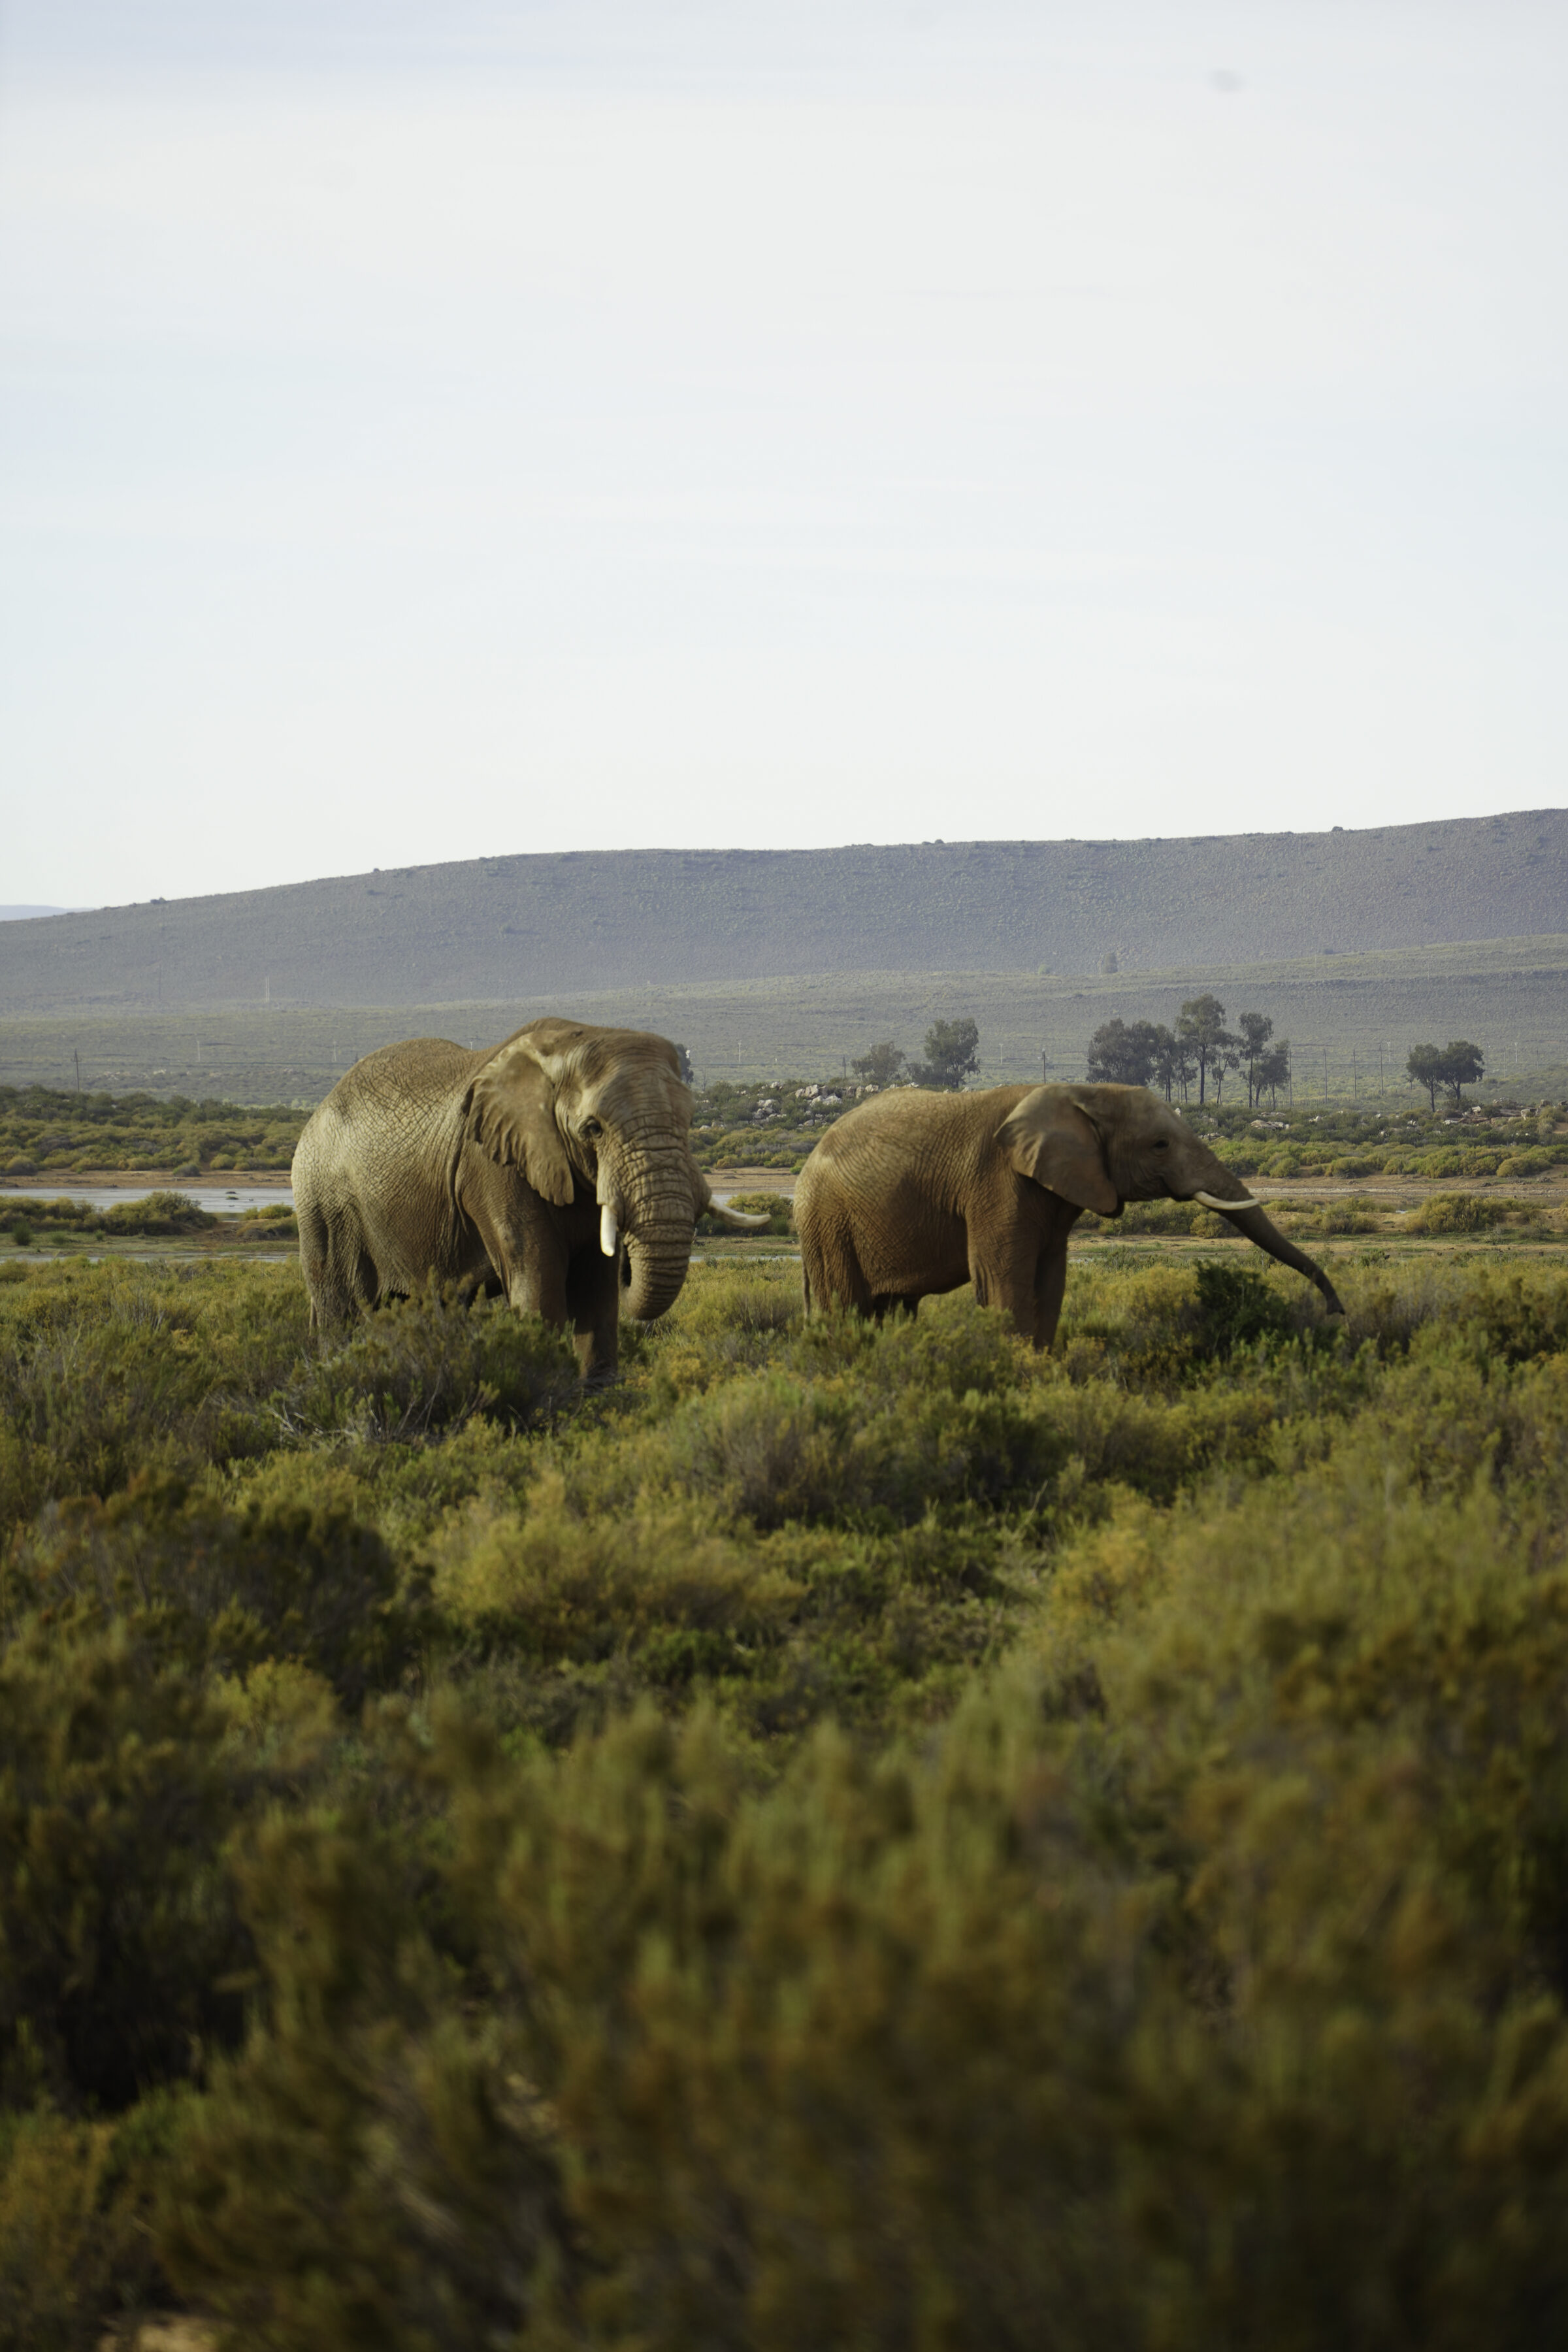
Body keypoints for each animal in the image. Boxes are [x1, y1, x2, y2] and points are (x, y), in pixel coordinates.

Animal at [291, 1017, 765, 1375]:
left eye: (689, 1120)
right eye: (593, 1129)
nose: (631, 1264)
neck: (572, 1041)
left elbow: (597, 1289)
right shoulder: (494, 1165)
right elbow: (537, 1281)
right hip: (323, 1204)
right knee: (342, 1313)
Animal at [794, 1080, 1344, 1346]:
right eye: (1160, 1145)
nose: (1336, 1313)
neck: (1082, 1093)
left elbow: (1050, 1282)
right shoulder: (997, 1181)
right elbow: (1004, 1281)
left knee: (893, 1307)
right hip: (827, 1221)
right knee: (844, 1305)